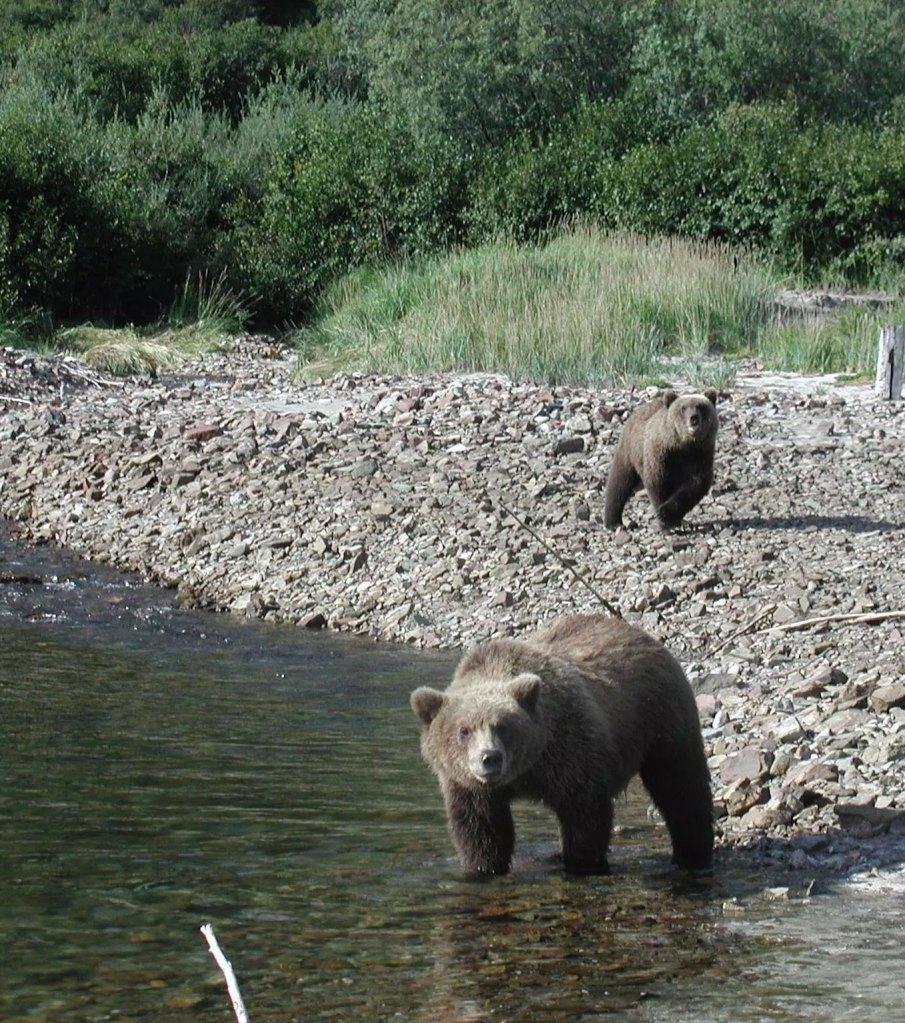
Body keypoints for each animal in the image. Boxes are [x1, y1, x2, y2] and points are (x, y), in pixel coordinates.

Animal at [410, 614, 713, 876]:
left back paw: (693, 853)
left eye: (502, 726)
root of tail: (644, 636)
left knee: (680, 786)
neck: (525, 771)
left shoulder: (569, 751)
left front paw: (582, 863)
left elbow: (584, 812)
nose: (490, 758)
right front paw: (484, 866)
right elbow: (481, 829)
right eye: (464, 730)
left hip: (661, 719)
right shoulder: (468, 786)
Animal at [604, 389, 718, 531]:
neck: (684, 445)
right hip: (629, 451)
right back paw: (613, 522)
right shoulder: (661, 455)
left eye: (701, 406)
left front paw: (668, 515)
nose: (694, 418)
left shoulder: (701, 456)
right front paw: (664, 520)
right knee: (618, 483)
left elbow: (696, 485)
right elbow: (657, 483)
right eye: (683, 408)